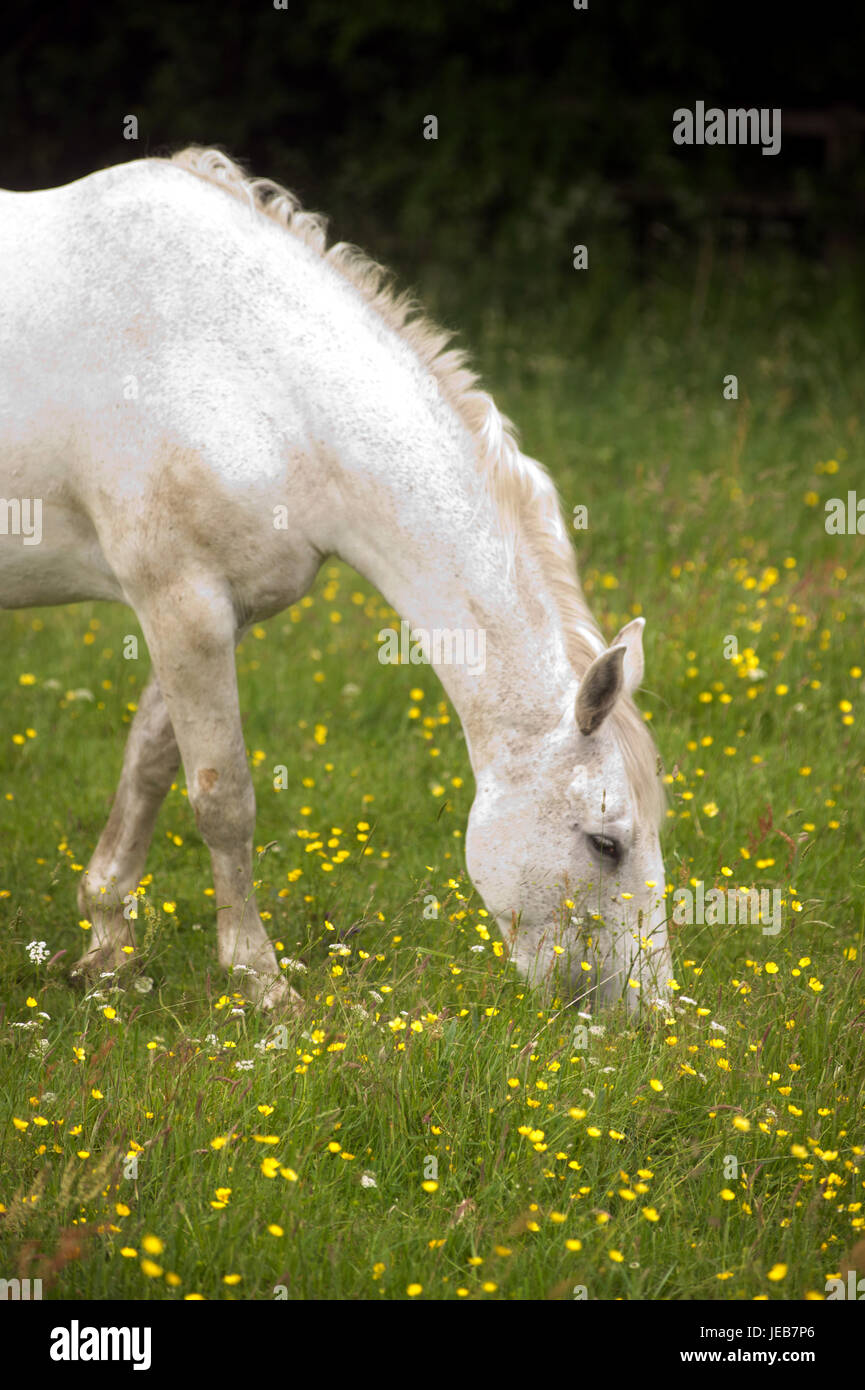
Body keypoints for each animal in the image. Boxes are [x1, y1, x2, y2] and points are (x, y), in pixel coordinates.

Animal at [0, 146, 673, 1015]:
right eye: (604, 842)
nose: (649, 1018)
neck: (255, 373)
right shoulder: (181, 602)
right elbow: (222, 798)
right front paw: (260, 982)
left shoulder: (211, 612)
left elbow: (149, 765)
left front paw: (108, 945)